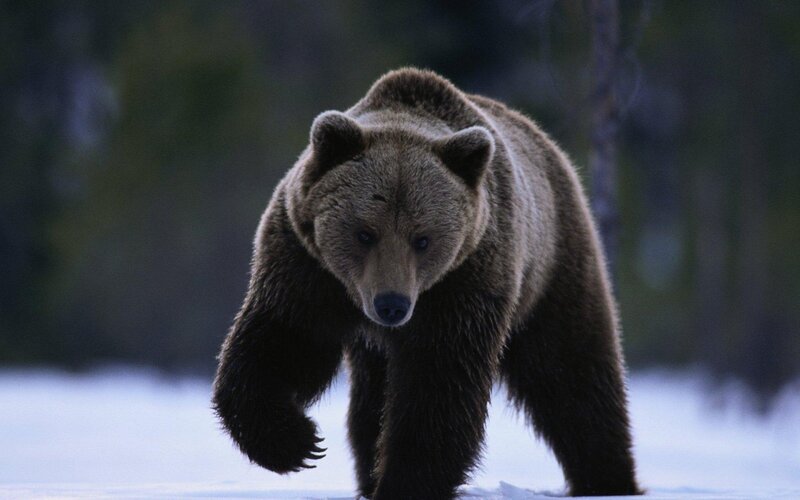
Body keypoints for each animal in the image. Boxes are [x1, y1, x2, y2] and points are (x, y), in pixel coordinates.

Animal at [212, 68, 640, 498]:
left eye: (422, 239)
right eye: (365, 233)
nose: (391, 304)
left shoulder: (465, 282)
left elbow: (438, 386)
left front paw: (405, 482)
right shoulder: (306, 267)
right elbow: (284, 341)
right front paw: (296, 442)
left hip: (553, 267)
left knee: (572, 374)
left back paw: (610, 477)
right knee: (370, 401)